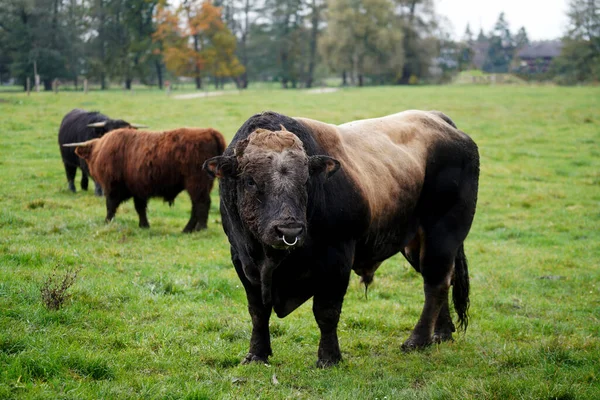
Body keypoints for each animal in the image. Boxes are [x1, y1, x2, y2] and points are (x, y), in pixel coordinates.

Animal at [64, 128, 226, 233]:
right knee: (197, 206)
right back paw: (189, 229)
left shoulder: (112, 187)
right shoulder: (138, 190)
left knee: (201, 203)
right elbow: (140, 208)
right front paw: (144, 225)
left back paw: (198, 228)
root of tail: (210, 131)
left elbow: (110, 206)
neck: (99, 150)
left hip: (197, 183)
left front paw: (107, 222)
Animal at [204, 111, 480, 368]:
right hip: (416, 243)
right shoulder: (242, 260)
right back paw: (442, 333)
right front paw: (256, 354)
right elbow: (258, 312)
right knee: (443, 279)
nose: (289, 231)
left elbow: (326, 312)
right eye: (250, 181)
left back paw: (418, 340)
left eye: (305, 180)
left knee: (436, 283)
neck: (272, 260)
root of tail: (439, 120)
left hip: (442, 234)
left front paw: (328, 357)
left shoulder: (336, 259)